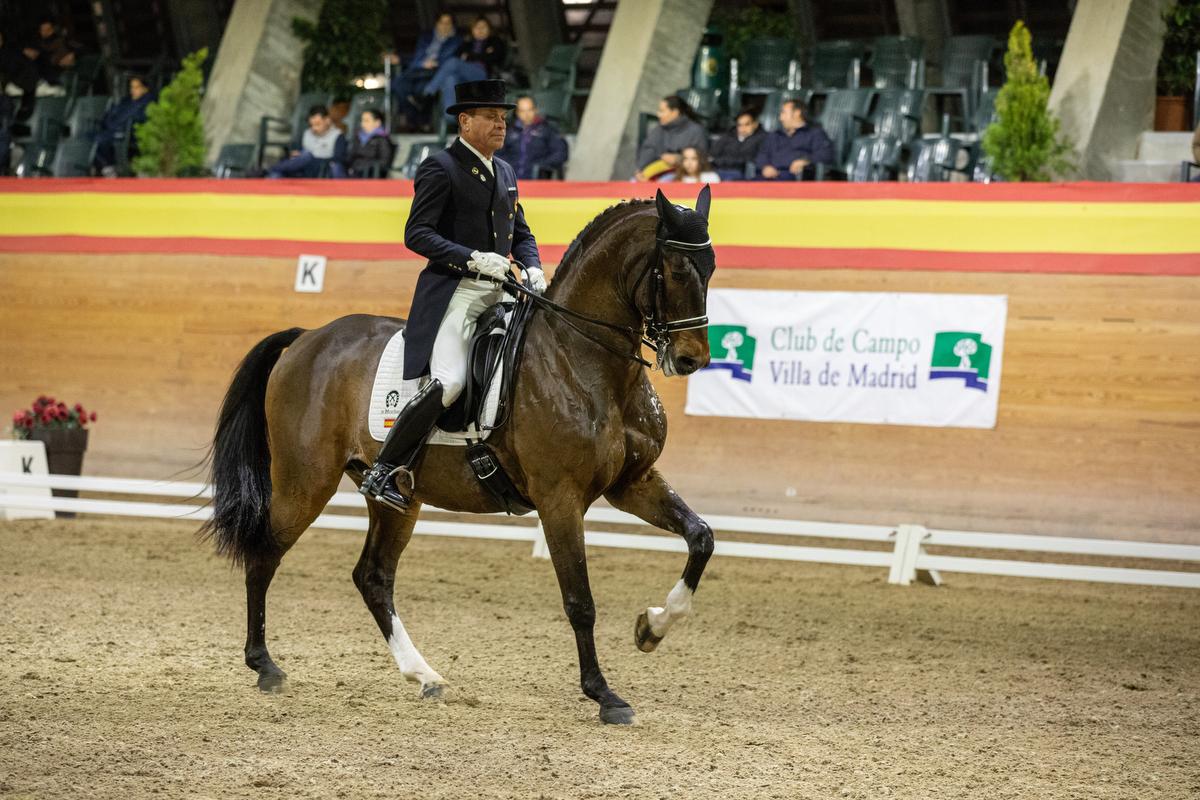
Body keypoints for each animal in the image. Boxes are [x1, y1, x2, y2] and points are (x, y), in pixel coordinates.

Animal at [201, 188, 715, 724]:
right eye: (674, 270)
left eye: (711, 267)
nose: (692, 359)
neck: (582, 359)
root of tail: (307, 338)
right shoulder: (560, 499)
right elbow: (580, 601)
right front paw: (604, 695)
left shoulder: (633, 482)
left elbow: (701, 537)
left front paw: (652, 628)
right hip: (306, 480)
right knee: (266, 552)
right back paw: (265, 666)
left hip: (398, 496)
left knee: (373, 576)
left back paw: (424, 676)